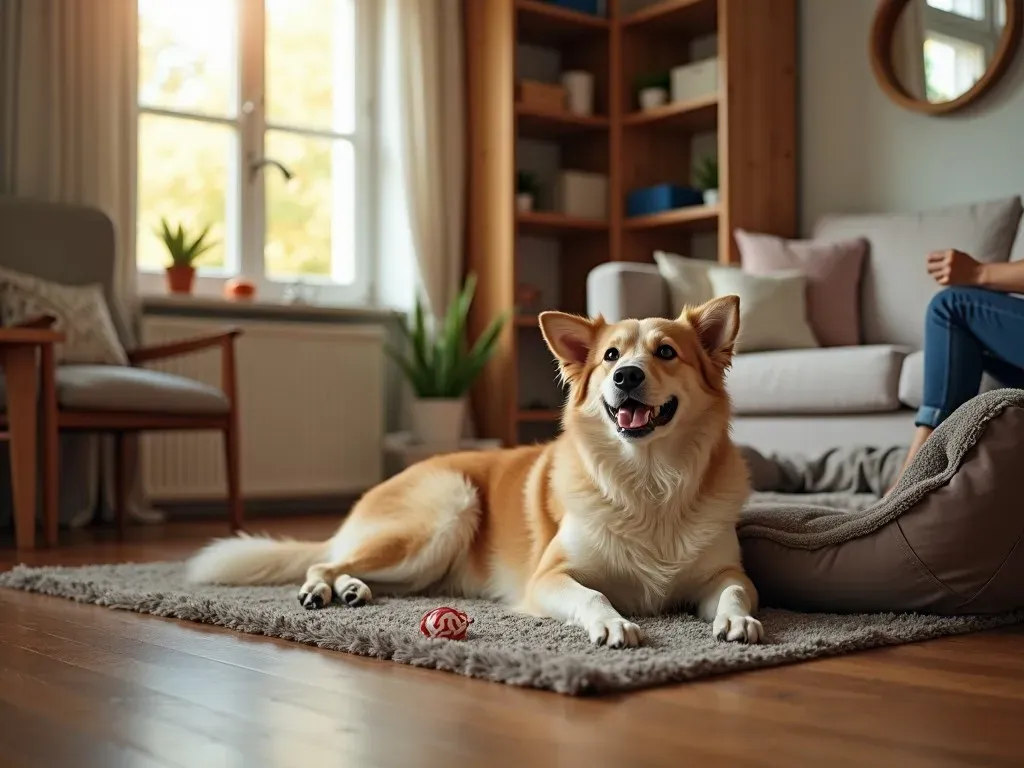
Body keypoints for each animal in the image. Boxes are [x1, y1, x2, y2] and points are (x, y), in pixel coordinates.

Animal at [186, 296, 761, 651]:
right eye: (610, 355)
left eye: (666, 352)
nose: (625, 376)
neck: (648, 480)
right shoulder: (549, 577)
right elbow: (592, 595)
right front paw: (614, 622)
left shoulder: (722, 571)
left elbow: (736, 589)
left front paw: (737, 619)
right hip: (444, 512)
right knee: (323, 562)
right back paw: (323, 590)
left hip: (425, 562)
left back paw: (352, 590)